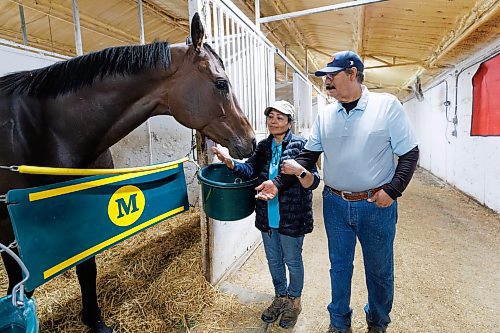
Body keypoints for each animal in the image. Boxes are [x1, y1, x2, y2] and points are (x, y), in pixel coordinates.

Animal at [0, 13, 256, 332]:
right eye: (221, 83)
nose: (251, 140)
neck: (48, 128)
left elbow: (87, 268)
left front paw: (95, 320)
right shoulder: (10, 224)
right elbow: (19, 285)